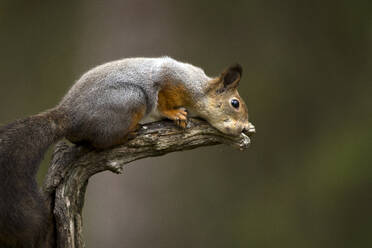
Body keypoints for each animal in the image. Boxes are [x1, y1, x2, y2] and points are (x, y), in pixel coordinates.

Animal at [0, 57, 253, 247]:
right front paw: (175, 114)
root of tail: (68, 116)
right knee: (99, 142)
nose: (243, 127)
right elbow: (162, 101)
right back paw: (128, 134)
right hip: (132, 99)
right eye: (235, 103)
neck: (200, 88)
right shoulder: (171, 79)